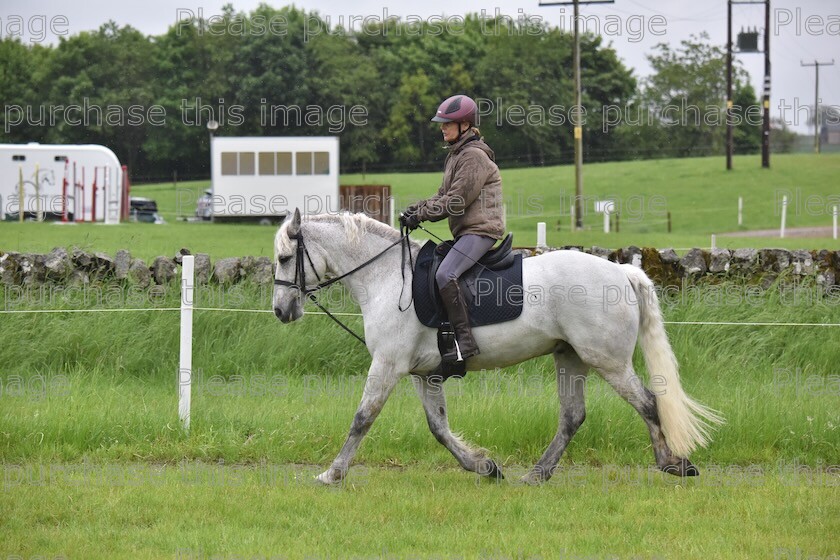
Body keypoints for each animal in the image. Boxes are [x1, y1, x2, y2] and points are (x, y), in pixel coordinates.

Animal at [272, 211, 720, 486]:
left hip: (606, 360)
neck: (385, 277)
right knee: (573, 416)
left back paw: (672, 463)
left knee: (647, 402)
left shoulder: (387, 365)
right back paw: (537, 474)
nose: (280, 311)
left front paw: (332, 474)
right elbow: (438, 428)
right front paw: (484, 467)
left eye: (285, 257)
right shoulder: (423, 374)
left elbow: (362, 418)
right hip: (570, 356)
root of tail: (623, 271)